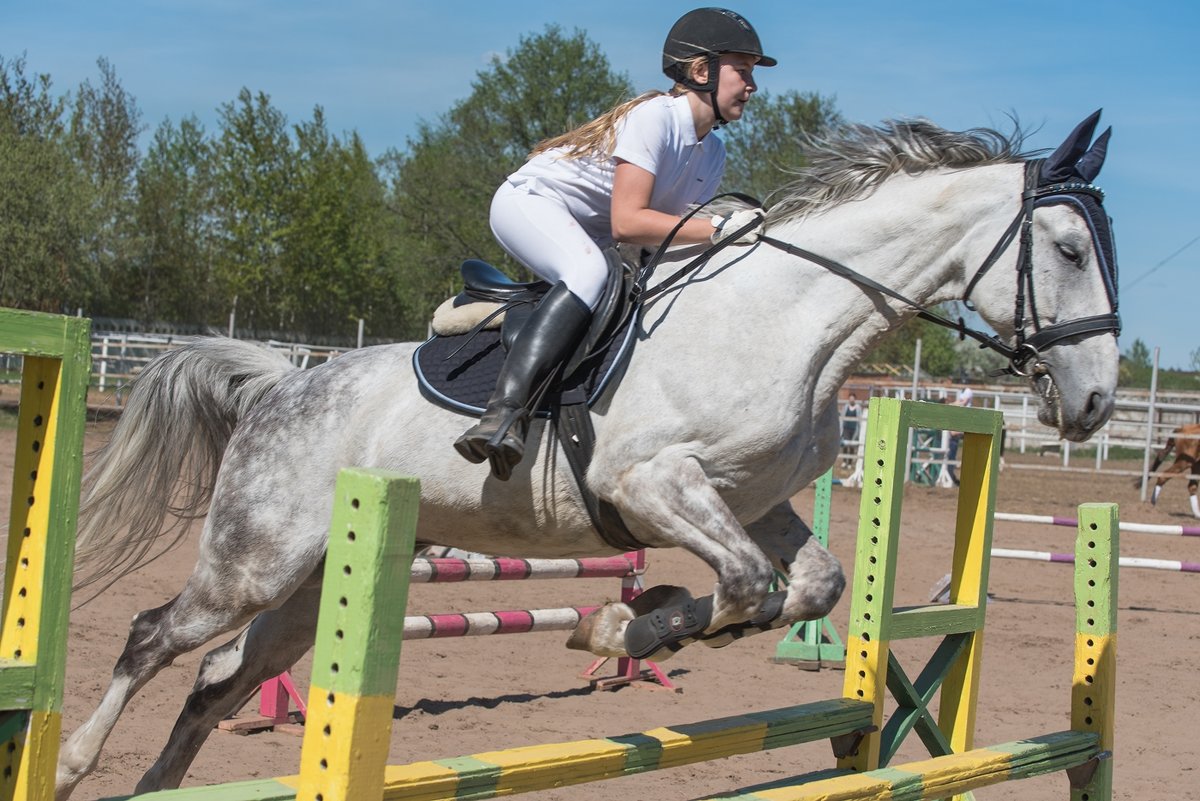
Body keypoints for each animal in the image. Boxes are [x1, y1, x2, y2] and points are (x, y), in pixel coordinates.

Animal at [58, 113, 1123, 801]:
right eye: (1070, 249)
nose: (1094, 402)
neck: (793, 323)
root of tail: (281, 382)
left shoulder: (757, 499)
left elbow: (807, 585)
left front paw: (635, 625)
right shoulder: (652, 485)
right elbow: (745, 583)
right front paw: (619, 626)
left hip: (311, 585)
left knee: (217, 677)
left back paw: (153, 786)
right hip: (255, 558)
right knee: (154, 637)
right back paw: (72, 762)